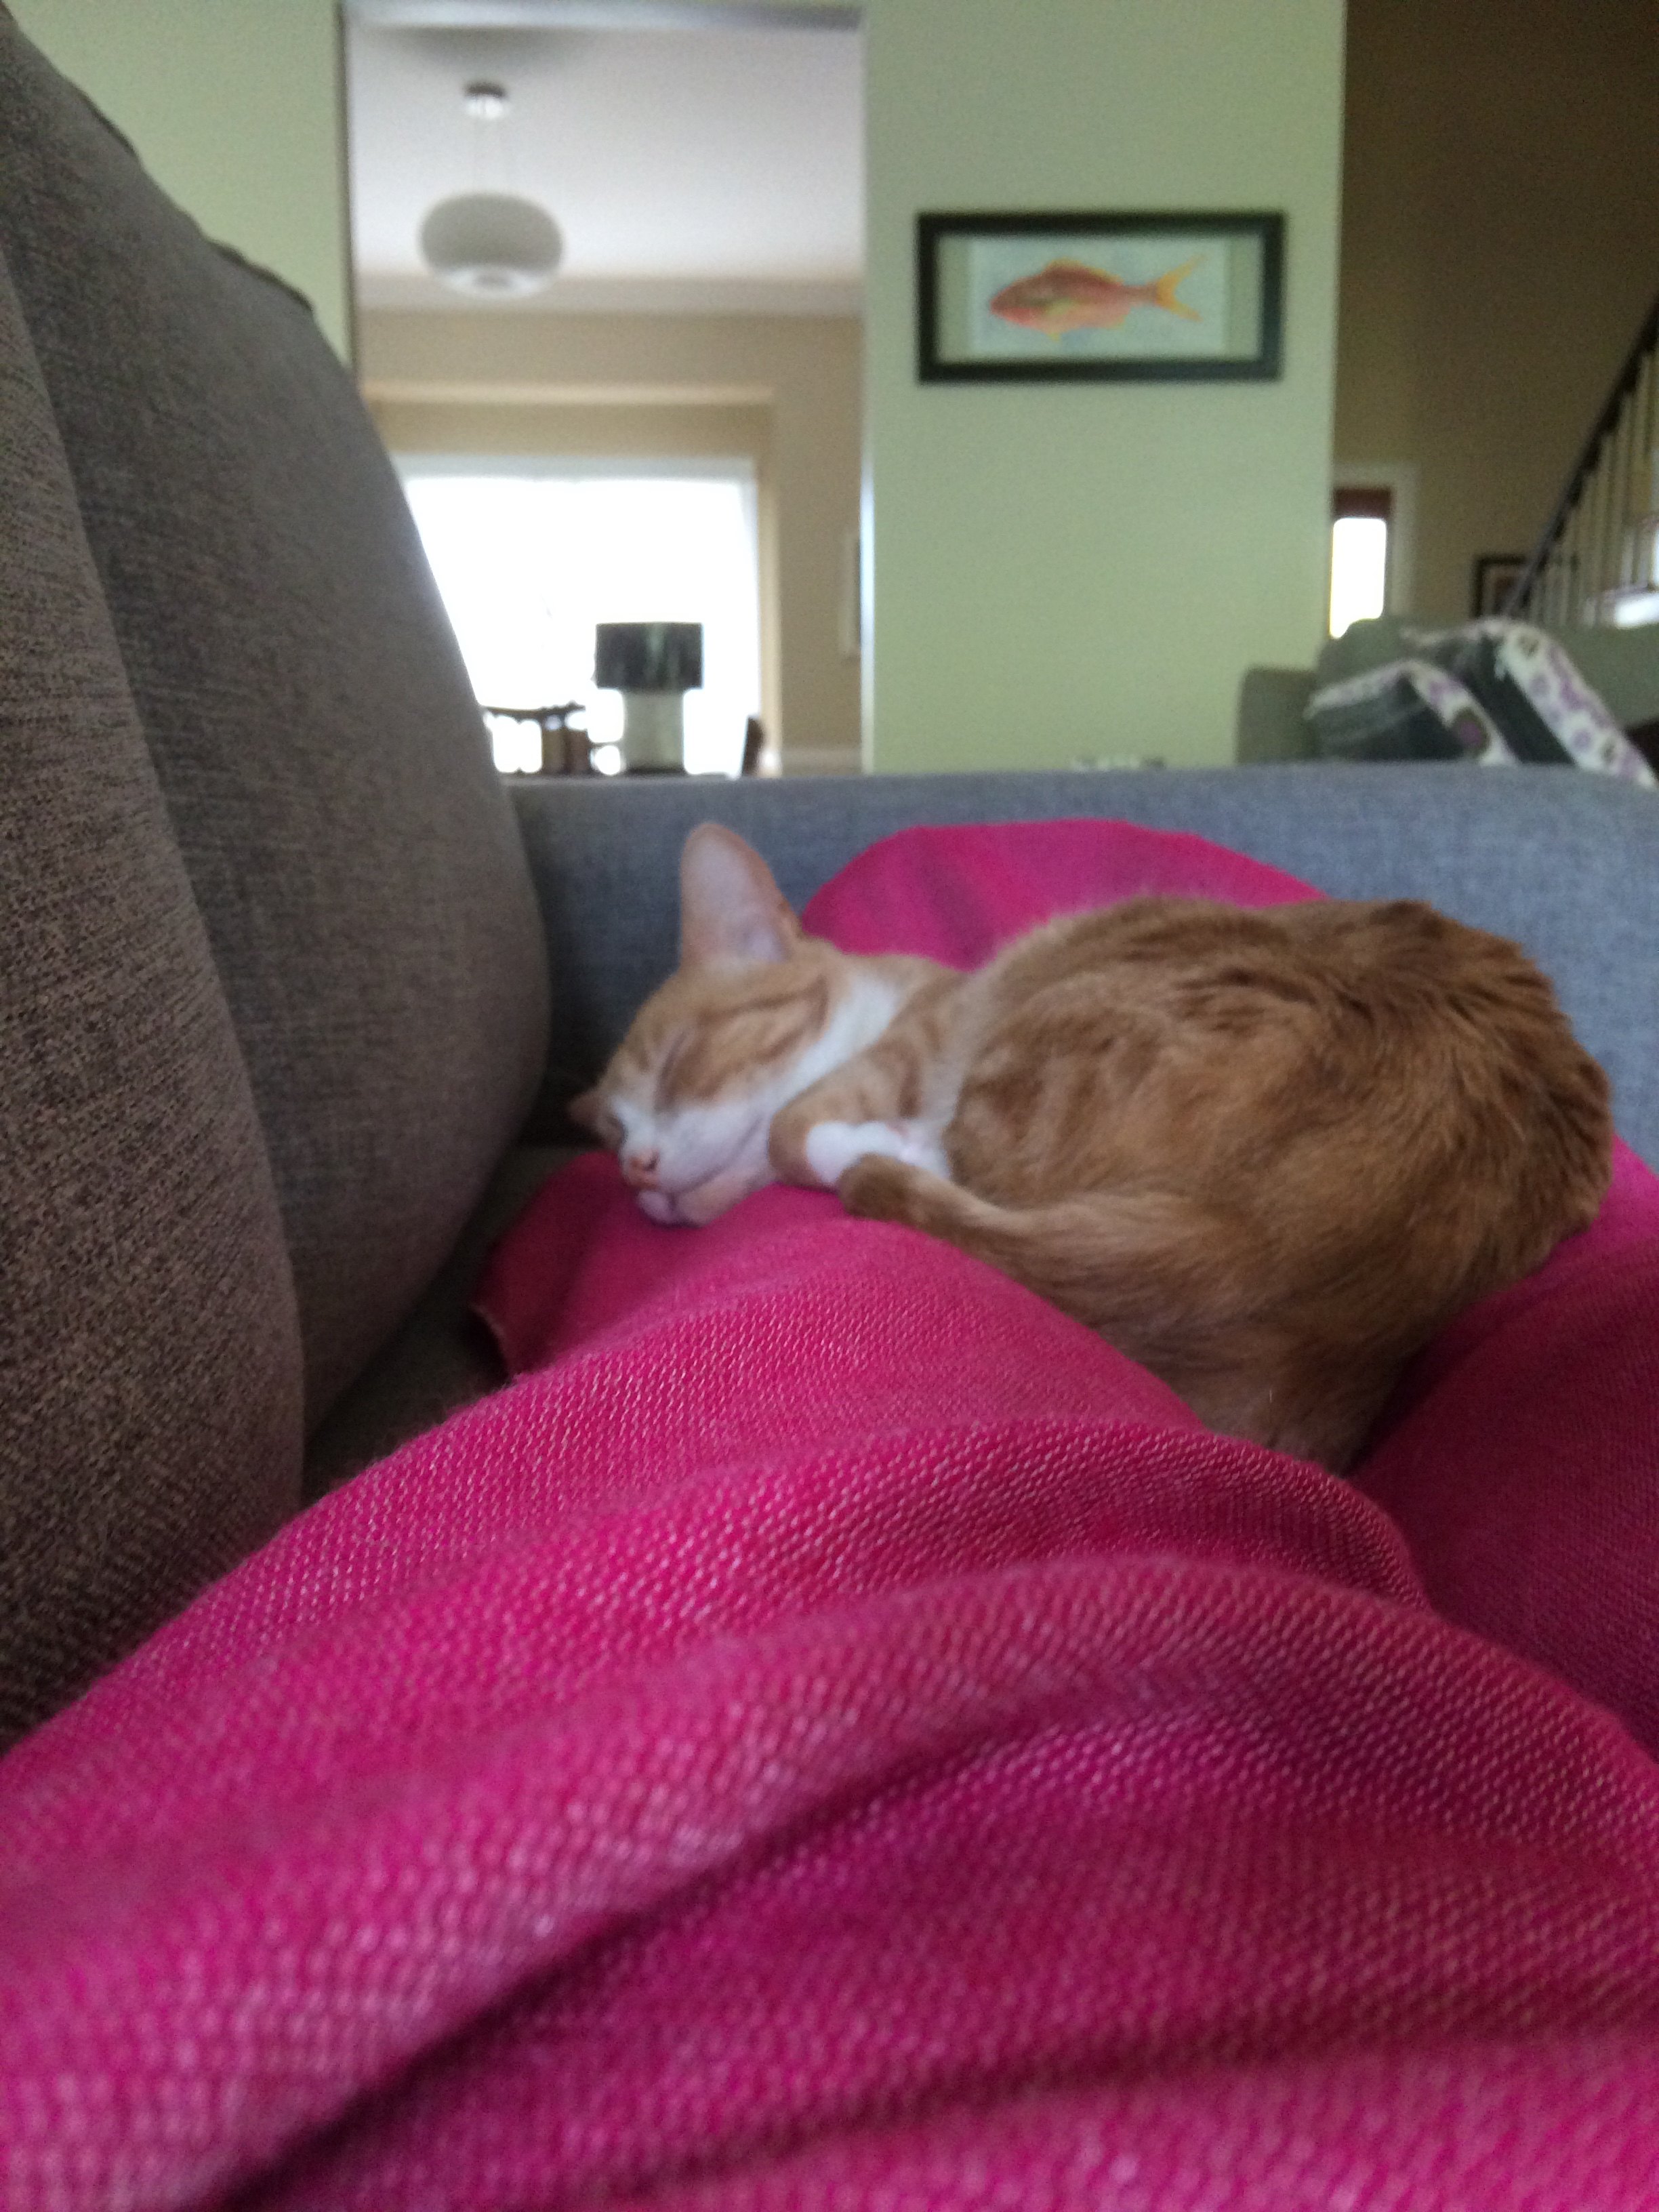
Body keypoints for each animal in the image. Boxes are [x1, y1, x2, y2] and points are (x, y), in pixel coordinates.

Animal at [571, 822, 1612, 1471]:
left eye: (678, 1065)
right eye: (613, 1134)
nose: (638, 1171)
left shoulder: (925, 1033)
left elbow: (795, 1130)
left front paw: (869, 1134)